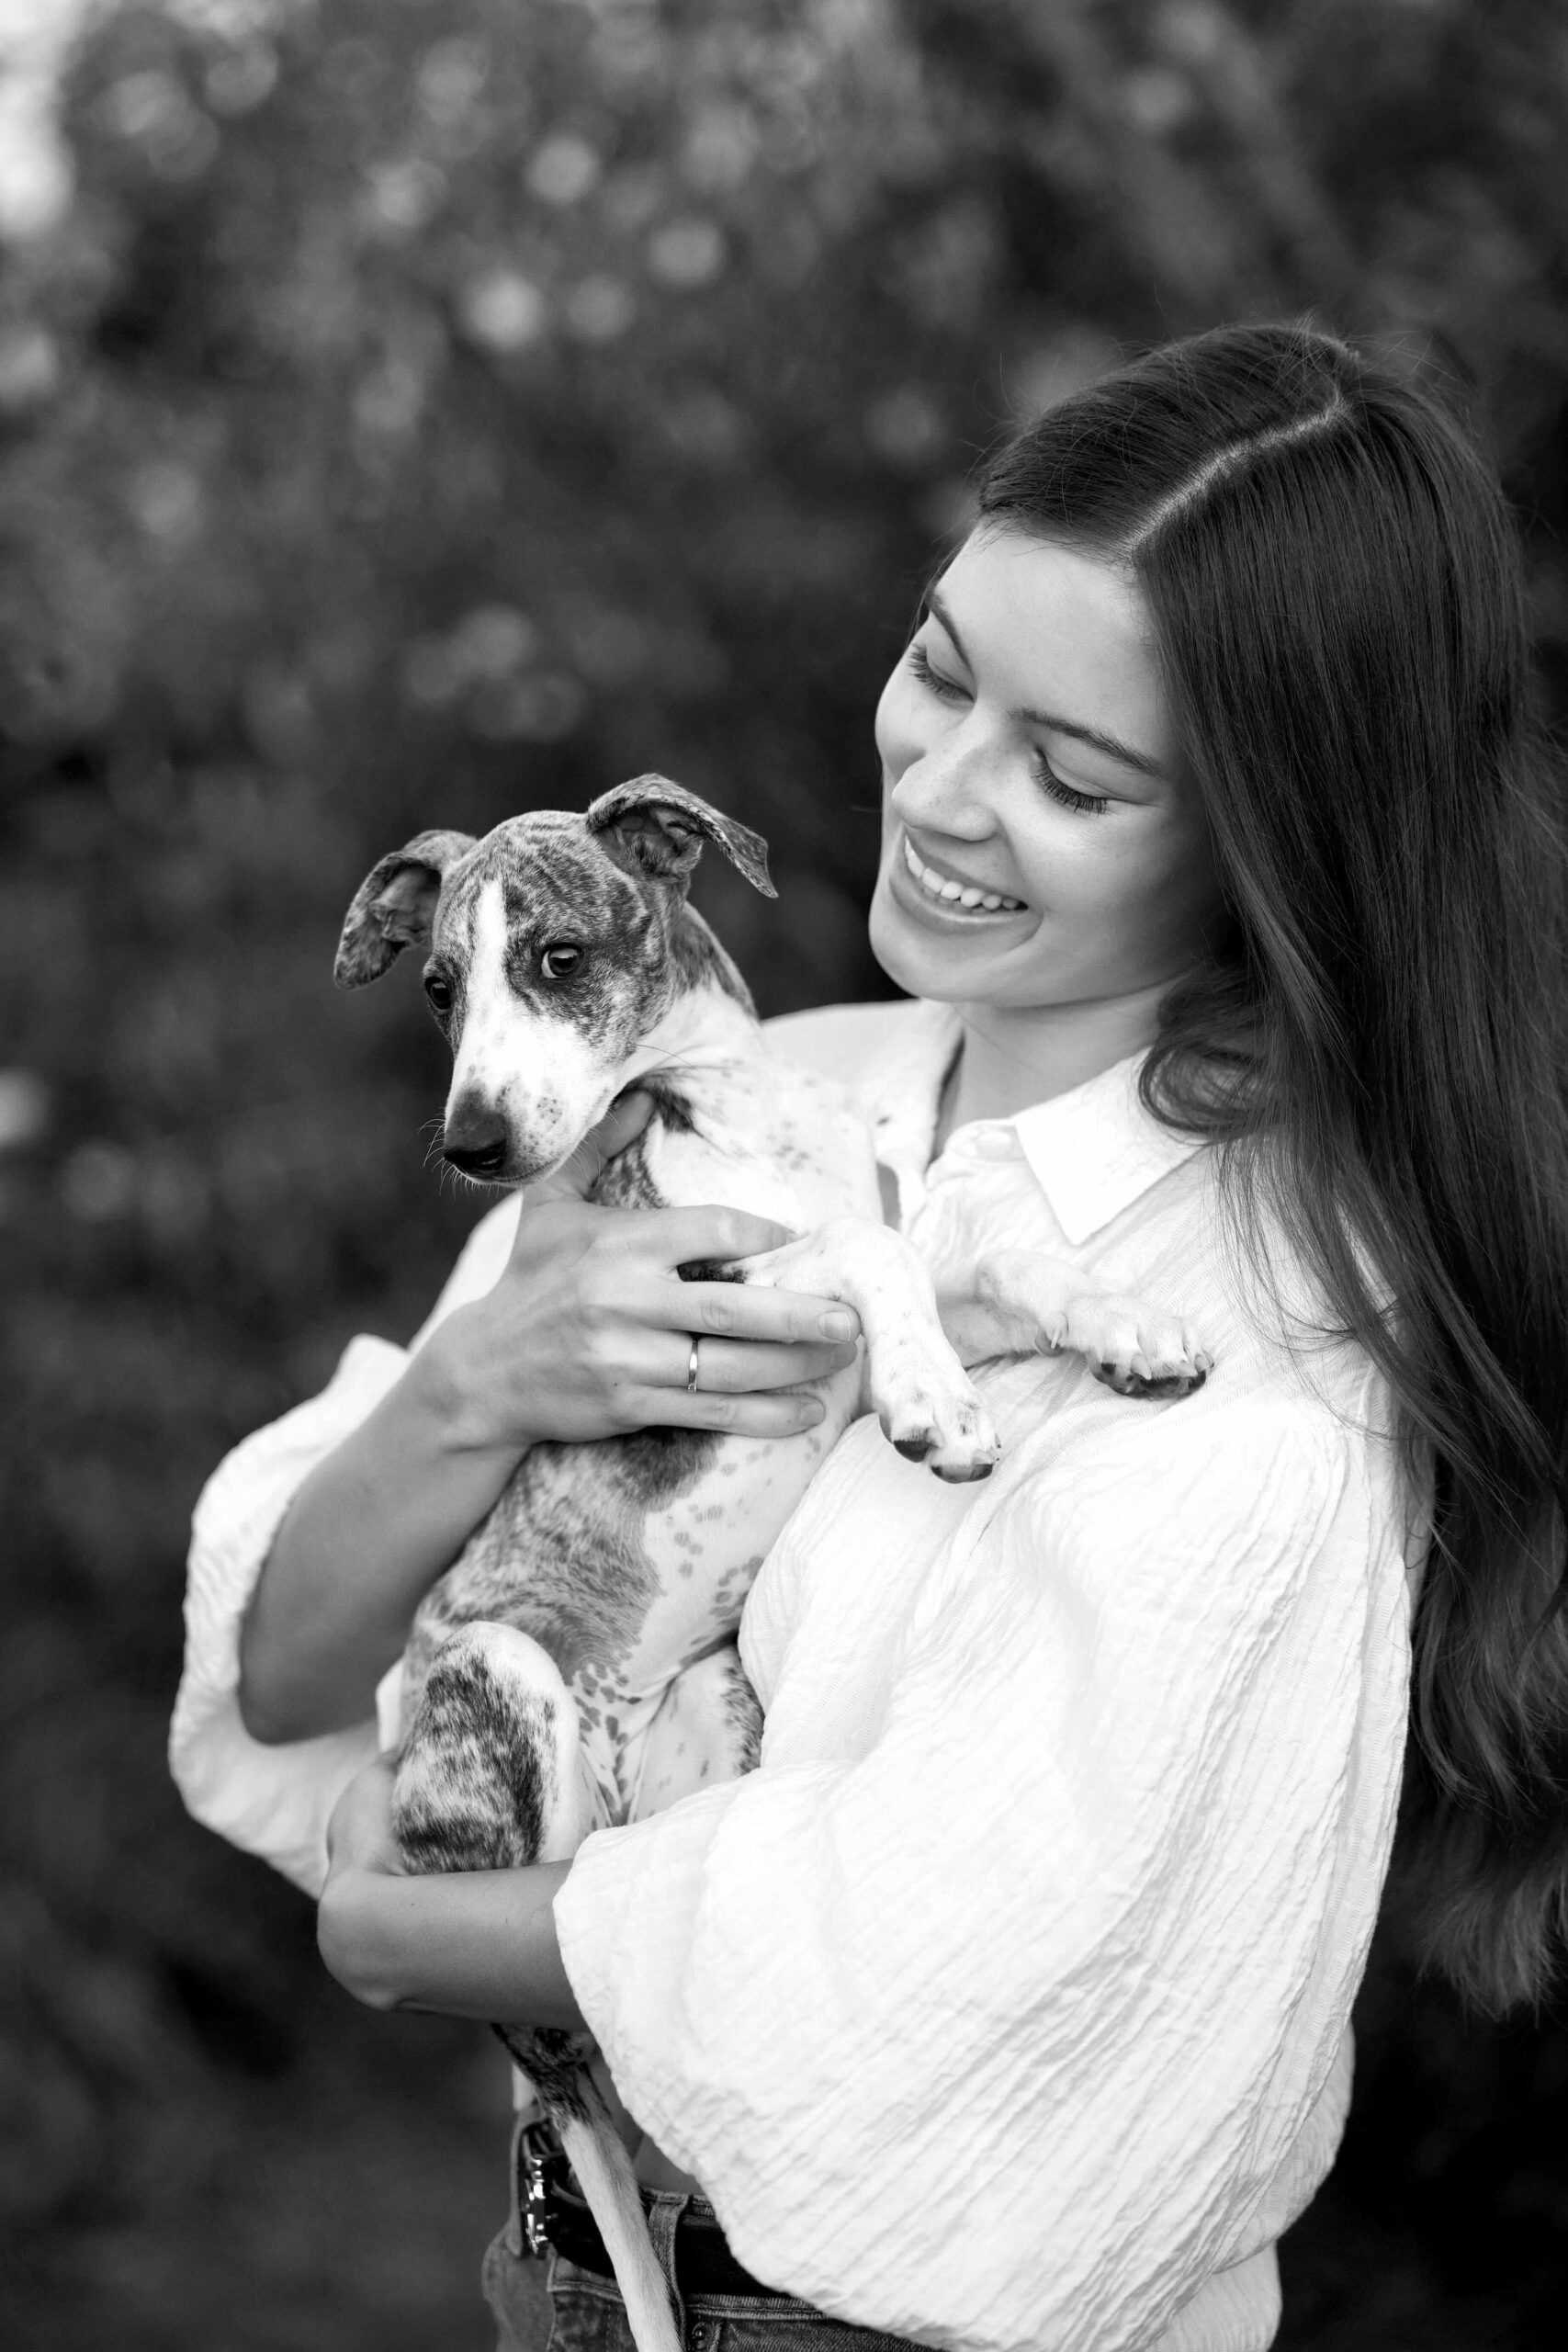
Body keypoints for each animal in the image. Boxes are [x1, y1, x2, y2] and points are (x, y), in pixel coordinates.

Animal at [334, 776, 1208, 2352]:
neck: (730, 1110)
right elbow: (872, 1247)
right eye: (435, 988)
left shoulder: (838, 1333)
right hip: (499, 1684)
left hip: (715, 1714)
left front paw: (1126, 1327)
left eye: (556, 958)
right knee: (552, 1993)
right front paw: (942, 1416)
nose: (472, 1147)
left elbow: (985, 1260)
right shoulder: (709, 1292)